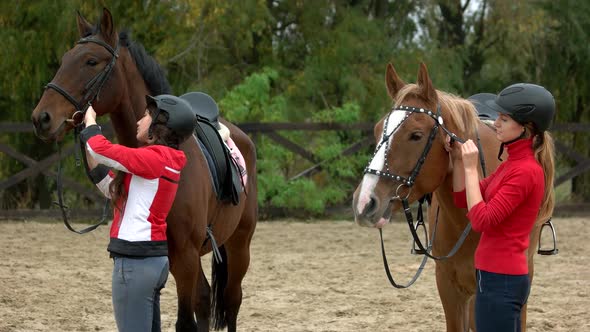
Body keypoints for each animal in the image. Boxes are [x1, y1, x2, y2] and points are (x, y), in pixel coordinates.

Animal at [29, 7, 256, 332]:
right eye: (63, 60)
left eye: (91, 61)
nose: (41, 118)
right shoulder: (177, 257)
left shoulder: (185, 256)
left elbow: (185, 321)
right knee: (204, 298)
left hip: (239, 245)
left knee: (232, 300)